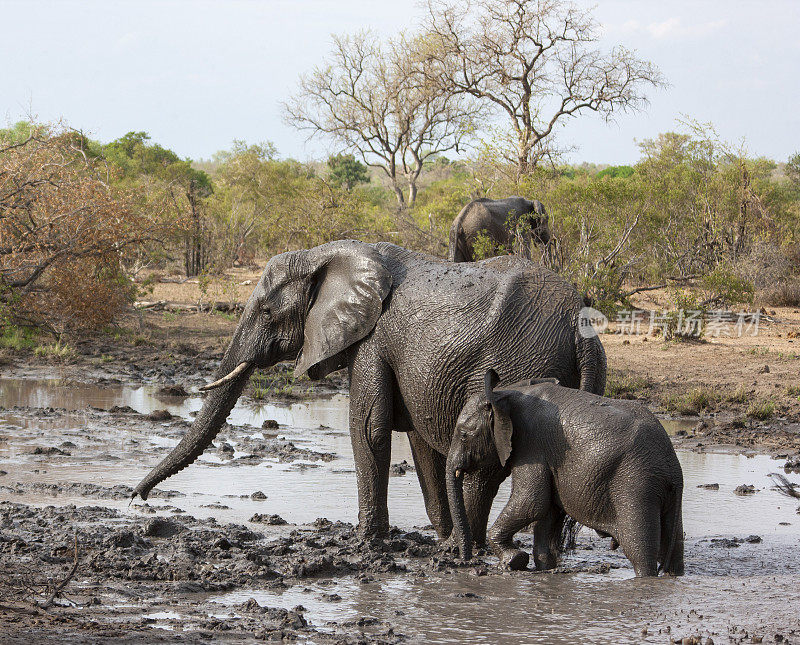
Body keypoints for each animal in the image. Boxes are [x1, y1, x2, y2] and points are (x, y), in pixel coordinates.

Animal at [133, 240, 608, 544]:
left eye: (267, 312)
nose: (137, 498)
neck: (328, 254)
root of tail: (577, 325)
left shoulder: (372, 340)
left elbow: (369, 429)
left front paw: (365, 542)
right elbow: (421, 445)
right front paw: (438, 532)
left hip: (519, 367)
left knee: (485, 465)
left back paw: (462, 553)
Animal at [446, 370, 684, 576]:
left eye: (464, 435)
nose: (467, 560)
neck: (507, 393)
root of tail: (673, 471)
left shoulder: (532, 446)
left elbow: (532, 502)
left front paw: (512, 561)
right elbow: (547, 512)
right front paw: (544, 568)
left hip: (635, 484)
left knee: (639, 551)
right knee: (673, 550)